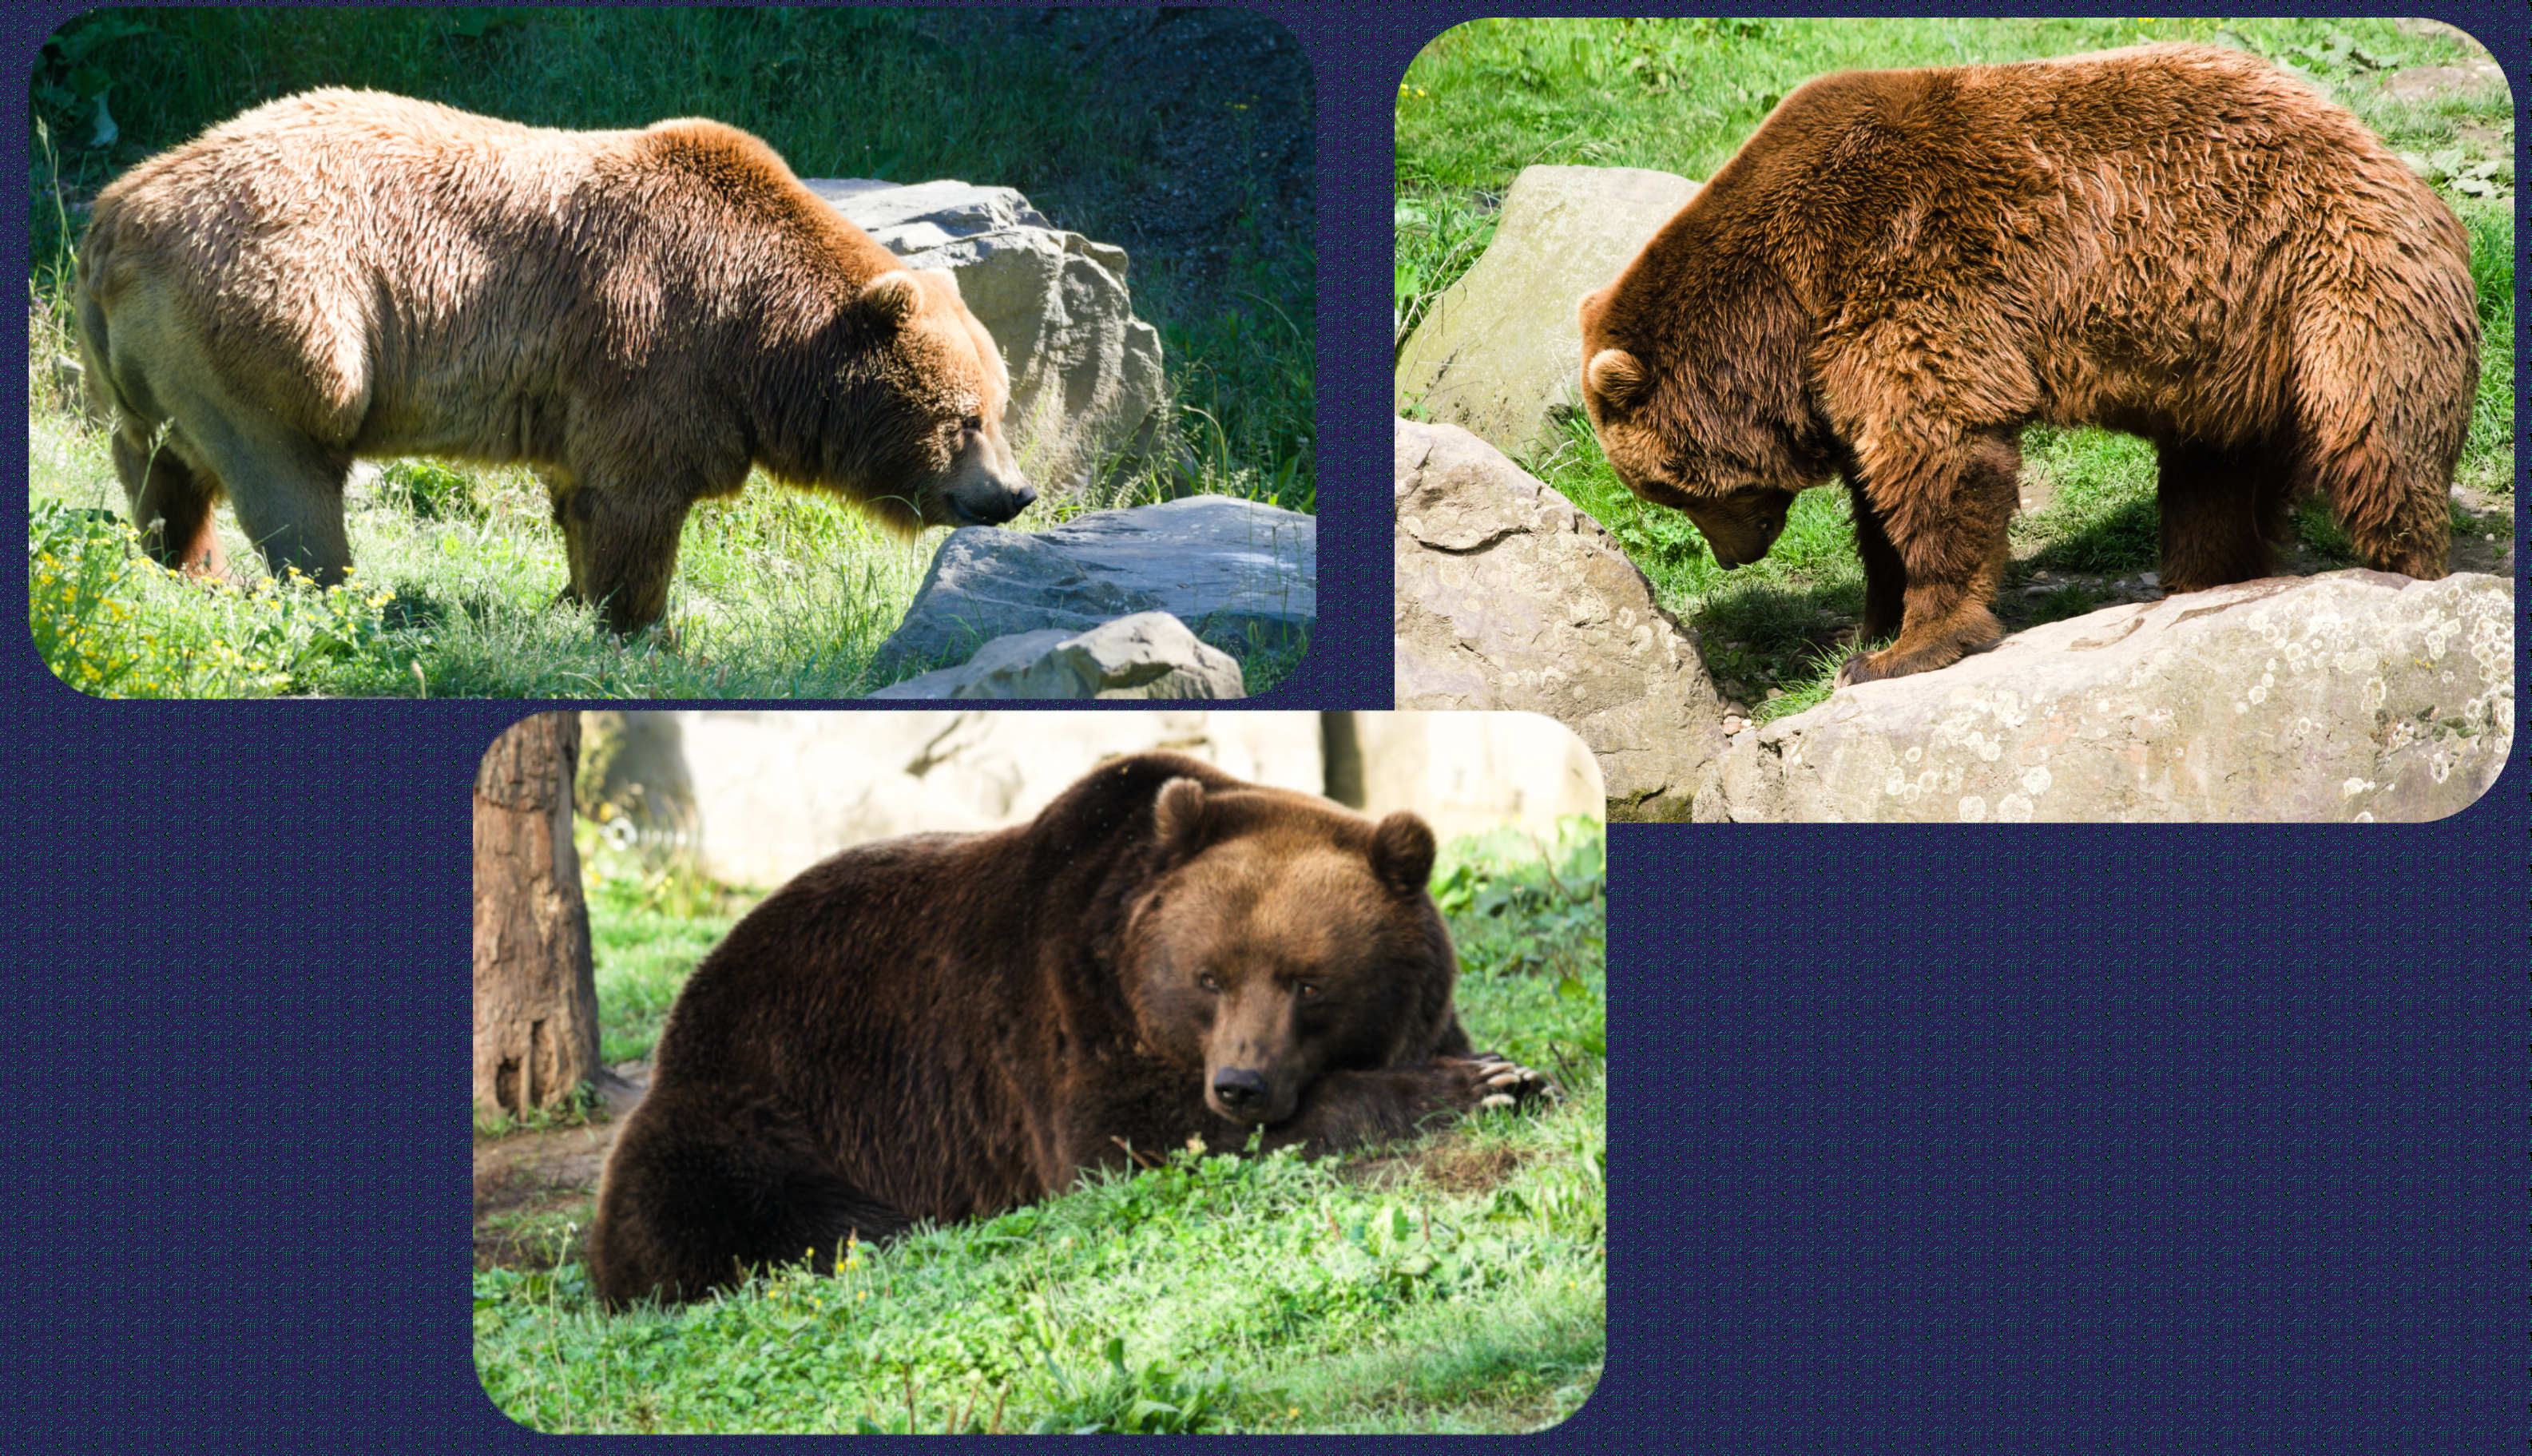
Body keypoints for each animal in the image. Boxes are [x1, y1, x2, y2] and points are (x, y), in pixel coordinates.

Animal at [74, 88, 1034, 634]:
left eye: (998, 405)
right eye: (964, 418)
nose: (1014, 493)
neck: (757, 334)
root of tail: (118, 209)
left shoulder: (586, 383)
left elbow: (582, 499)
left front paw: (574, 600)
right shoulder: (656, 341)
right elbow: (637, 501)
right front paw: (643, 627)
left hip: (151, 347)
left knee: (157, 454)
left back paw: (180, 560)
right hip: (284, 316)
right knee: (288, 472)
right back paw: (336, 592)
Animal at [586, 751, 1551, 1309]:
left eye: (1309, 982)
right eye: (1208, 977)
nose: (1240, 1084)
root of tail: (689, 1002)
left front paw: (1516, 1071)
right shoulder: (1065, 1010)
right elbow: (1132, 1137)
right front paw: (1473, 1083)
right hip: (761, 1105)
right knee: (727, 1211)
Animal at [1577, 43, 2479, 684]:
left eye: (1666, 486)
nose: (1736, 557)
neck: (1780, 309)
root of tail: (2393, 162)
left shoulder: (1903, 273)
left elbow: (1935, 455)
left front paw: (1902, 646)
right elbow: (1877, 492)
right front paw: (1873, 617)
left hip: (2330, 282)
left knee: (2374, 442)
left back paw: (2404, 574)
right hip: (2231, 356)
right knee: (2213, 483)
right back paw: (2208, 584)